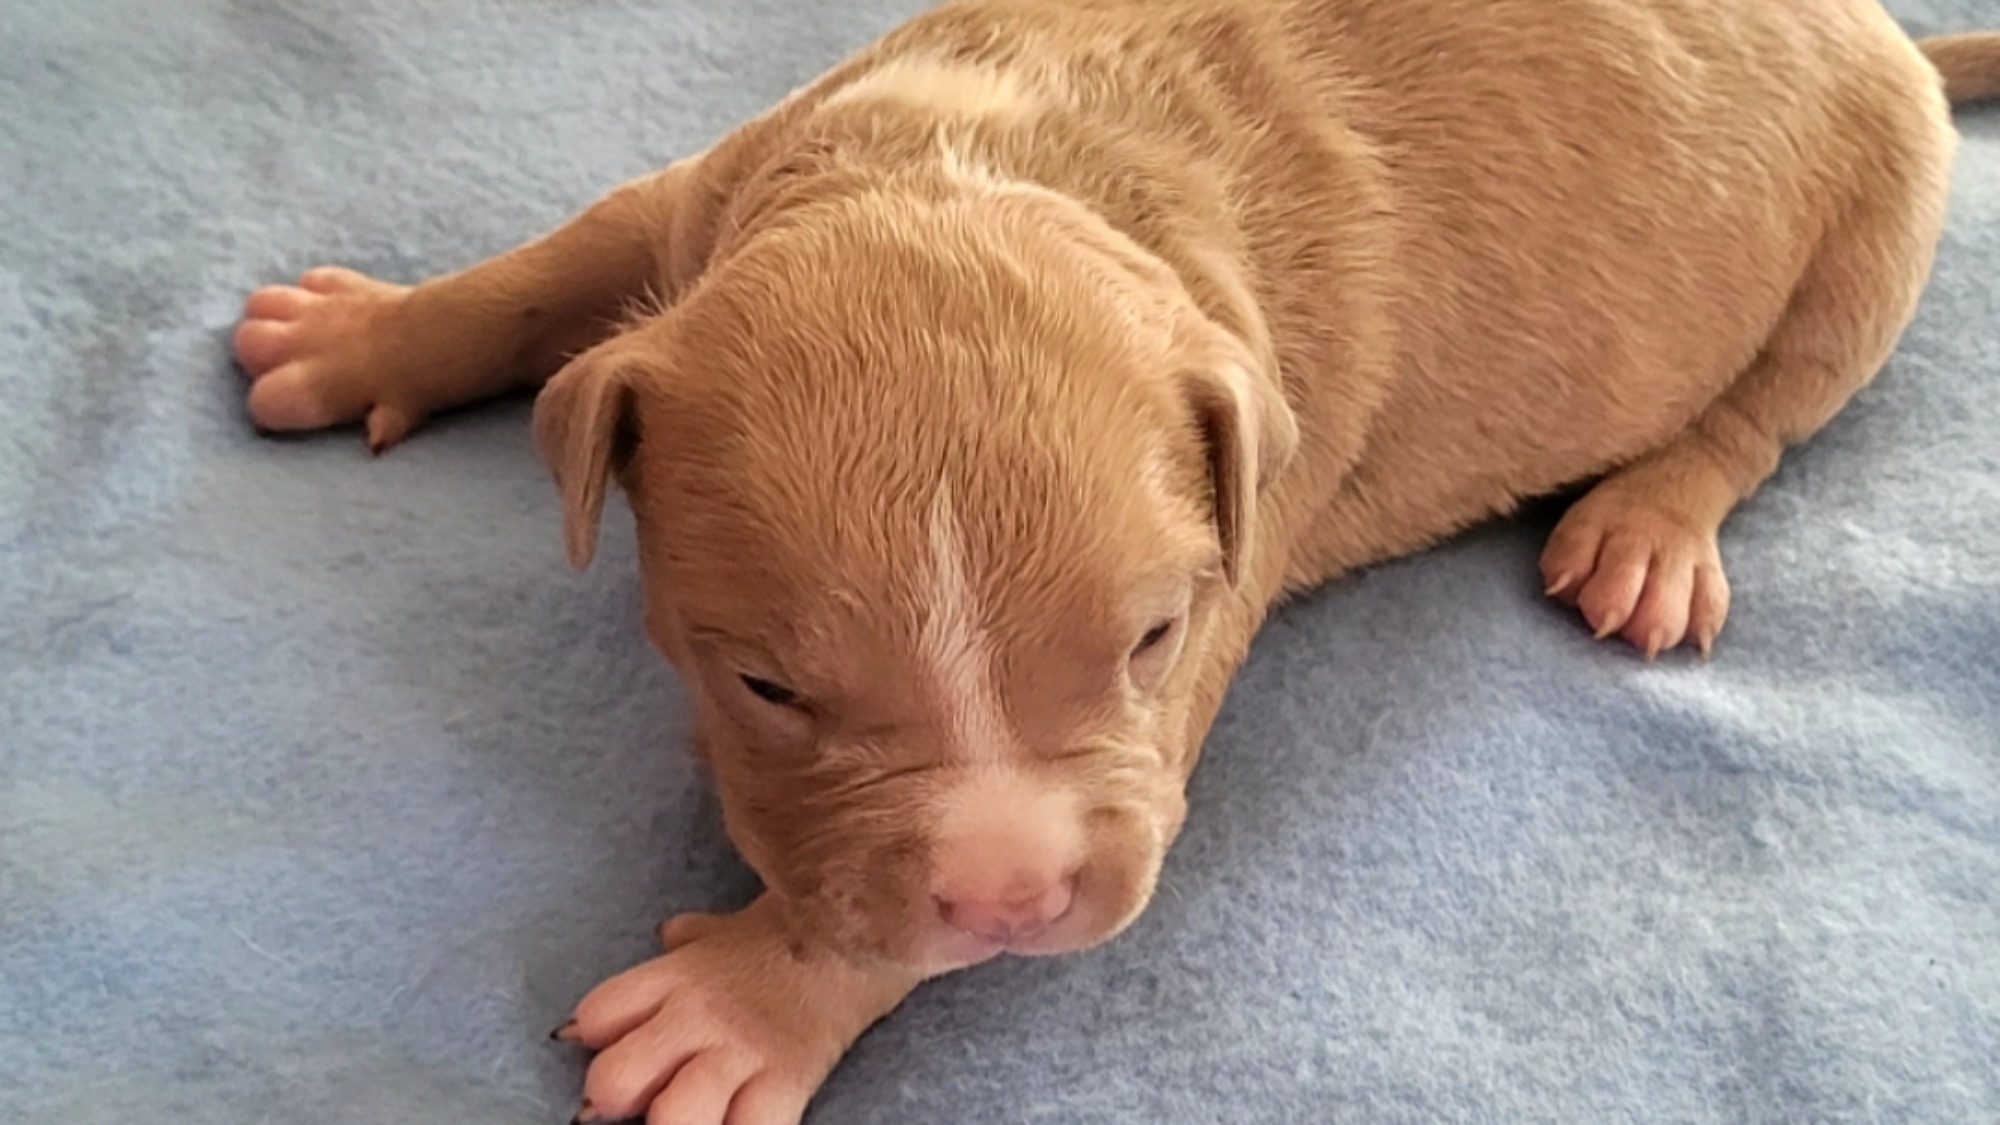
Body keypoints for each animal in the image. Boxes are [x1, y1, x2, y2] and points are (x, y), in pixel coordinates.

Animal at [230, 2, 1984, 1120]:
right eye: (767, 686)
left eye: (1148, 642)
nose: (1011, 894)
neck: (982, 168)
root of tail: (1893, 31)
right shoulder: (702, 204)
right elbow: (558, 260)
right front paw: (360, 336)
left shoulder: (1234, 552)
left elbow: (886, 921)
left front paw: (740, 1008)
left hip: (1879, 226)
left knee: (1772, 404)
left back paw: (1648, 531)